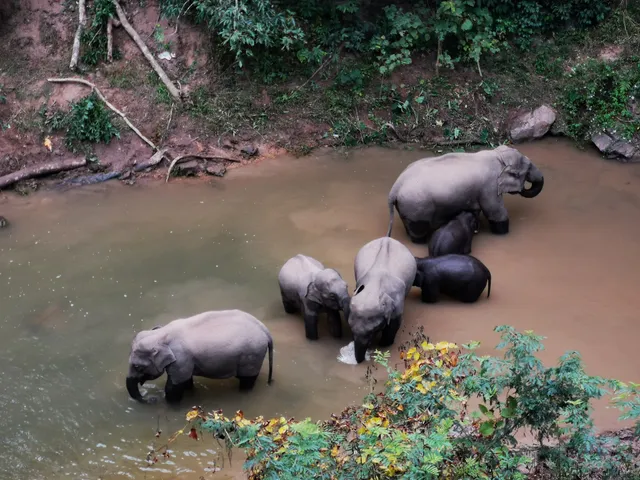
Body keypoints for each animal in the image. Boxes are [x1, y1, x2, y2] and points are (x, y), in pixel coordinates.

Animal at [125, 309, 273, 404]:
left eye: (138, 367)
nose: (151, 399)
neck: (163, 334)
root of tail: (265, 330)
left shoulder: (181, 360)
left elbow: (174, 387)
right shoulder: (185, 362)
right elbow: (186, 381)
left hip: (252, 355)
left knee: (246, 380)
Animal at [386, 145, 544, 243]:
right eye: (527, 170)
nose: (522, 189)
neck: (497, 154)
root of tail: (395, 187)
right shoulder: (490, 186)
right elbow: (496, 212)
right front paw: (502, 233)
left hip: (406, 207)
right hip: (417, 206)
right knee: (419, 230)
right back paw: (420, 242)